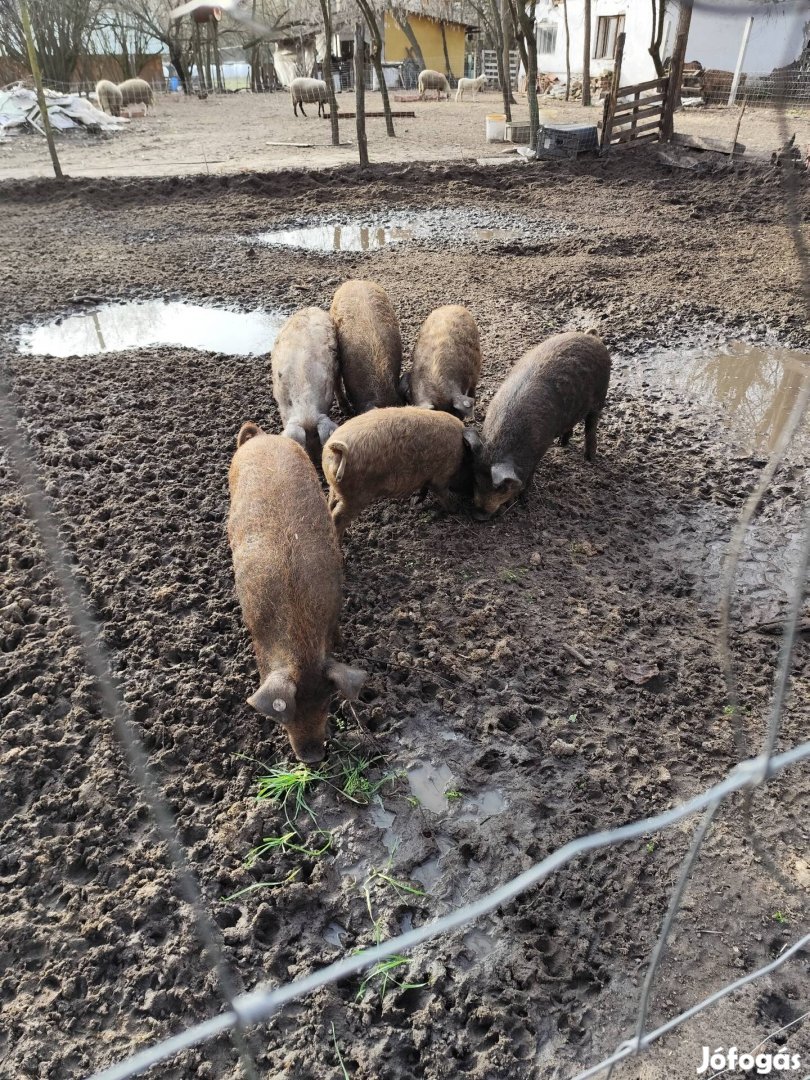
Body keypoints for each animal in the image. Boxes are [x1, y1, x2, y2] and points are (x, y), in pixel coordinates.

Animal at [321, 406, 466, 540]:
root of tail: (335, 451)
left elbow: (425, 489)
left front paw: (417, 501)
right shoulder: (441, 476)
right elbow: (443, 493)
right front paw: (454, 509)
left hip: (335, 488)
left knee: (330, 506)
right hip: (355, 496)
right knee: (337, 517)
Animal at [462, 326, 609, 516]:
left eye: (502, 488)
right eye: (475, 479)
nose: (479, 515)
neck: (500, 447)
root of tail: (592, 336)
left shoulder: (540, 448)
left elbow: (530, 474)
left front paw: (522, 499)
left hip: (600, 395)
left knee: (591, 425)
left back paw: (589, 458)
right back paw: (562, 444)